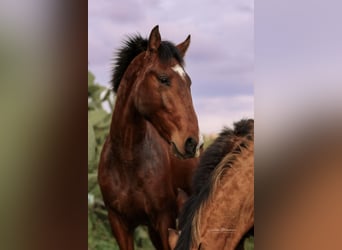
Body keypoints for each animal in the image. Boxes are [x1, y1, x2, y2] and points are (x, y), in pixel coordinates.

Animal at [97, 25, 202, 250]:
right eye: (163, 79)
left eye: (188, 82)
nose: (193, 142)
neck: (127, 161)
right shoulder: (119, 224)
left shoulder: (164, 219)